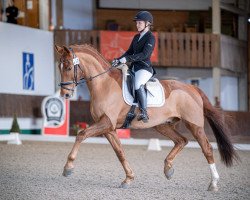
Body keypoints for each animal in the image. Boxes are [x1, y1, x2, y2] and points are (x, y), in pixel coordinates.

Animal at [55, 44, 238, 191]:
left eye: (69, 67)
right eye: (59, 66)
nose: (65, 94)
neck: (104, 84)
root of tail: (192, 88)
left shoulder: (105, 122)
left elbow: (81, 134)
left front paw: (68, 167)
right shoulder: (109, 127)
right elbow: (119, 152)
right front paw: (128, 178)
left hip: (194, 125)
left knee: (206, 148)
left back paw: (213, 183)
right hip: (162, 125)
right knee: (181, 141)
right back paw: (168, 169)